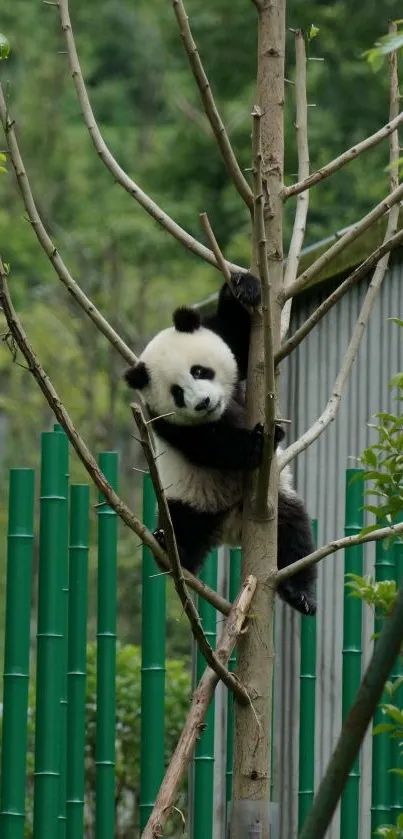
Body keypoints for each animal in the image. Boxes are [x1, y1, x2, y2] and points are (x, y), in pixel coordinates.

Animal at [124, 274, 318, 616]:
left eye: (200, 371)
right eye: (177, 392)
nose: (202, 403)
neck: (223, 410)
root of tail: (231, 529)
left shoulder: (228, 343)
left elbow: (237, 337)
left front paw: (242, 287)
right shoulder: (164, 421)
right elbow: (211, 445)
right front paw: (259, 440)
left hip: (274, 500)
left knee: (293, 531)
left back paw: (301, 594)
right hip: (188, 501)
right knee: (182, 527)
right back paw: (172, 549)